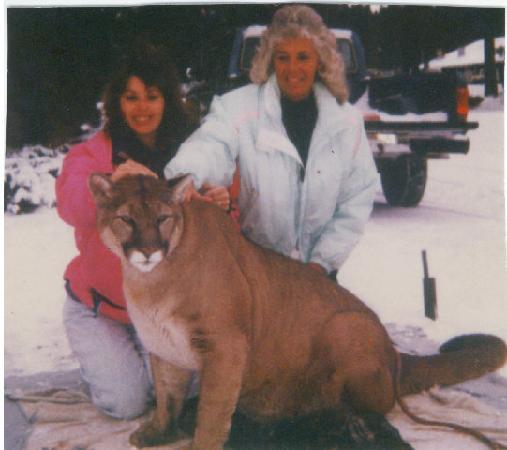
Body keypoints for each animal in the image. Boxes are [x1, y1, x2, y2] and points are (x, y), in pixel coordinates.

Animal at [88, 173, 507, 450]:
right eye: (126, 219)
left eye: (162, 219)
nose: (147, 251)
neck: (152, 280)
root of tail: (395, 352)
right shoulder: (164, 348)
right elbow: (167, 397)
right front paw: (157, 431)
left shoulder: (225, 348)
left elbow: (212, 410)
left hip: (346, 326)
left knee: (376, 407)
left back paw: (347, 424)